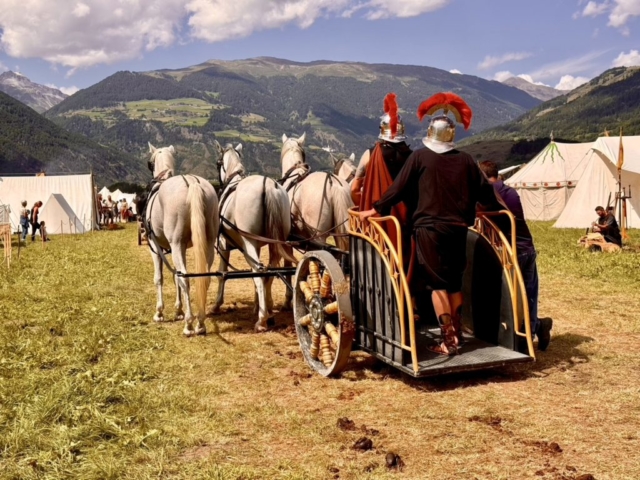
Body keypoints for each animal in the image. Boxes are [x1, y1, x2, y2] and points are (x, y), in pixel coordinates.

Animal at [145, 142, 219, 336]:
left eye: (150, 163)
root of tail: (192, 182)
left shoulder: (156, 248)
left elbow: (160, 278)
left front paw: (159, 312)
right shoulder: (179, 248)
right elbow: (174, 276)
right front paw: (178, 310)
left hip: (176, 244)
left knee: (185, 277)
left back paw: (189, 324)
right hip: (207, 243)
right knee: (203, 277)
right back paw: (200, 322)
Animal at [212, 141, 296, 332]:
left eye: (218, 163)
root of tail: (268, 185)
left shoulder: (224, 244)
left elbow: (223, 273)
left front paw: (217, 304)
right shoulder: (255, 246)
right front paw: (259, 304)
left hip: (249, 242)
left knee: (259, 270)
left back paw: (262, 320)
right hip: (272, 241)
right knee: (270, 269)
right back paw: (268, 312)